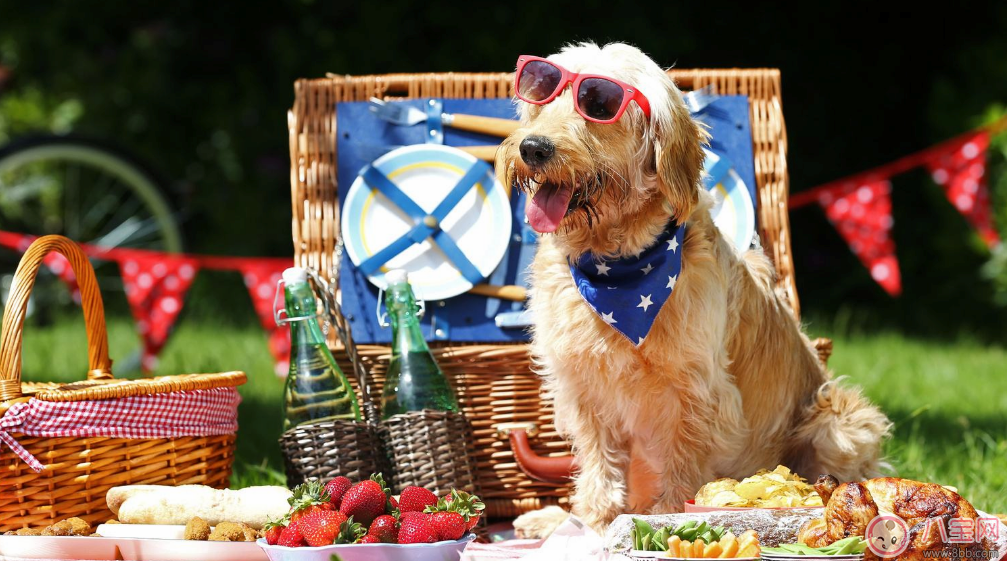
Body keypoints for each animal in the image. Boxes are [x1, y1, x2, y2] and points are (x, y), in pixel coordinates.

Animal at [495, 41, 890, 531]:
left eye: (599, 104)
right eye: (541, 92)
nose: (532, 147)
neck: (617, 268)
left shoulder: (697, 394)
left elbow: (682, 465)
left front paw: (663, 520)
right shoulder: (582, 388)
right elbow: (599, 465)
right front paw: (591, 524)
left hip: (841, 423)